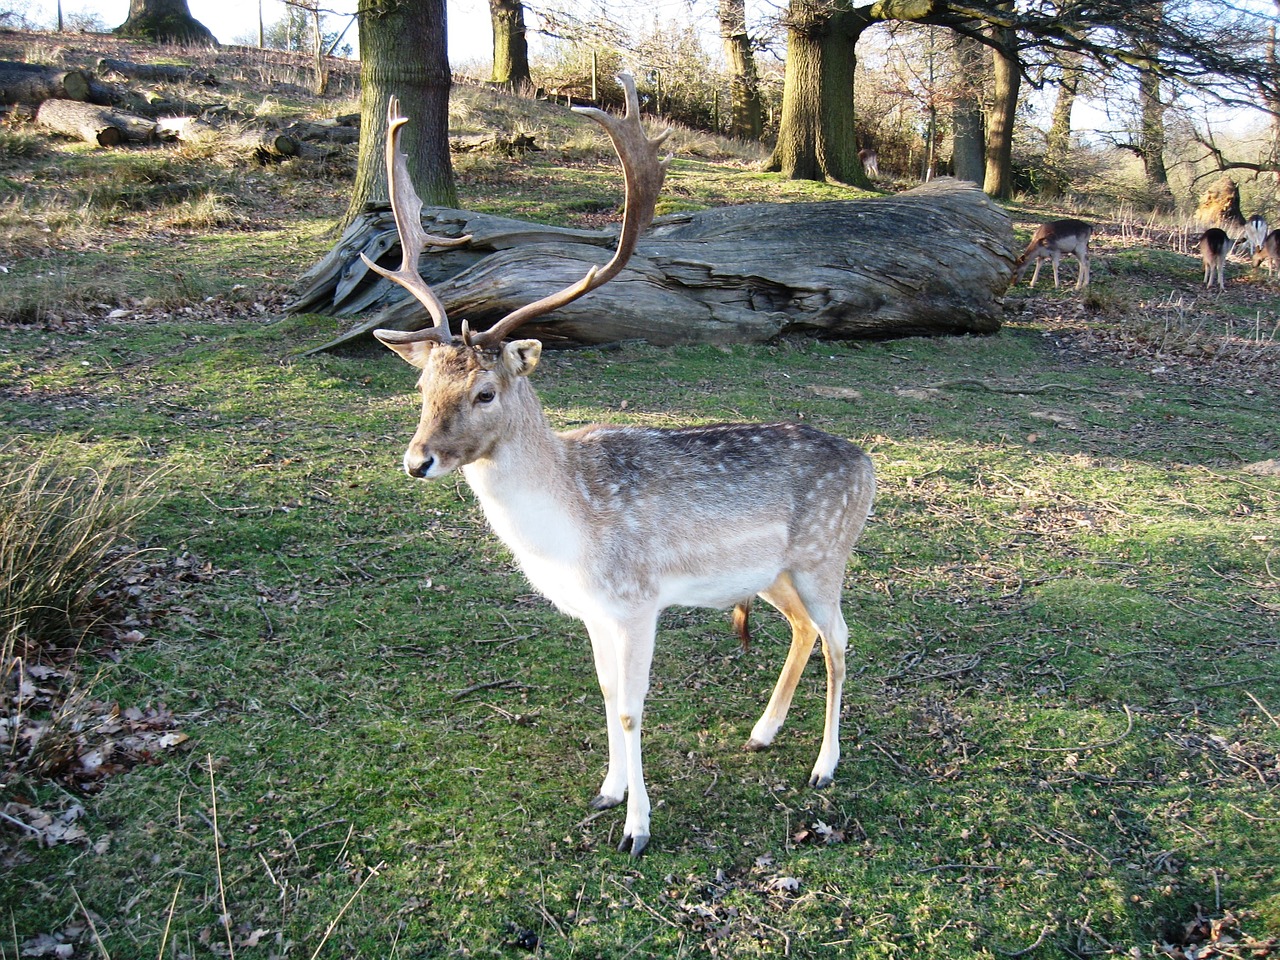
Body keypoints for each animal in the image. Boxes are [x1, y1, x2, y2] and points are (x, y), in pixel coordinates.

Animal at [366, 75, 875, 855]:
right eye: (423, 387)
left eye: (485, 391)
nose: (417, 460)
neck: (569, 529)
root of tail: (870, 465)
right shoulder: (593, 611)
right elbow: (607, 694)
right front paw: (608, 792)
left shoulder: (636, 601)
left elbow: (634, 706)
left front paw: (637, 827)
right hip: (774, 573)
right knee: (805, 630)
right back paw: (762, 732)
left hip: (826, 554)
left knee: (843, 640)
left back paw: (824, 765)